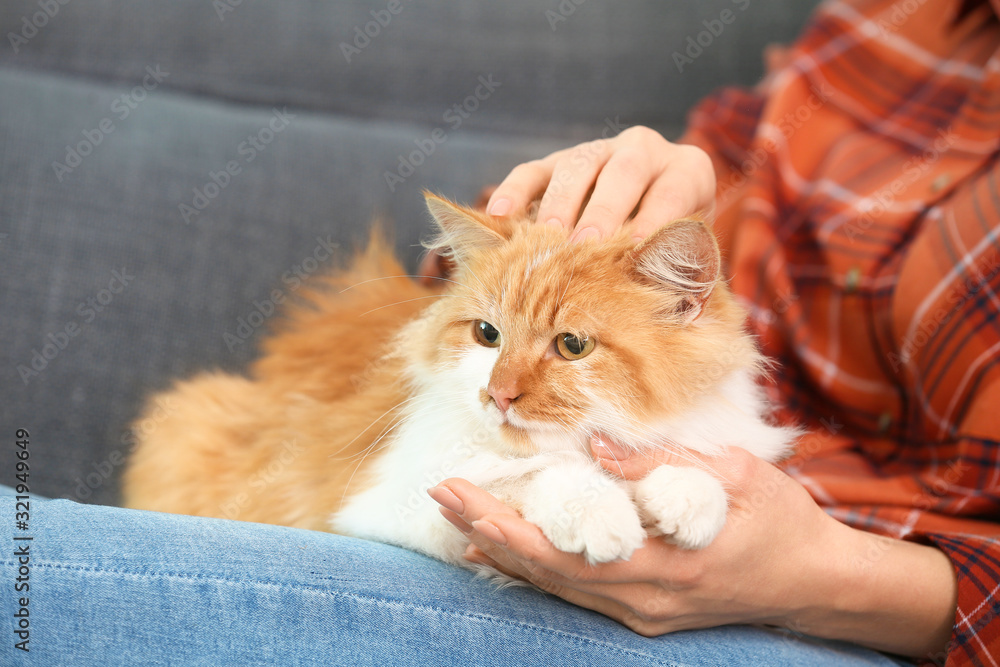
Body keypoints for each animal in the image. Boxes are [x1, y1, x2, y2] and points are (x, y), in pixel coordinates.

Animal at [125, 194, 796, 568]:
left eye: (572, 346)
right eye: (487, 335)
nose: (498, 393)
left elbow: (693, 465)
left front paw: (685, 503)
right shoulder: (392, 505)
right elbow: (534, 476)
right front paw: (600, 514)